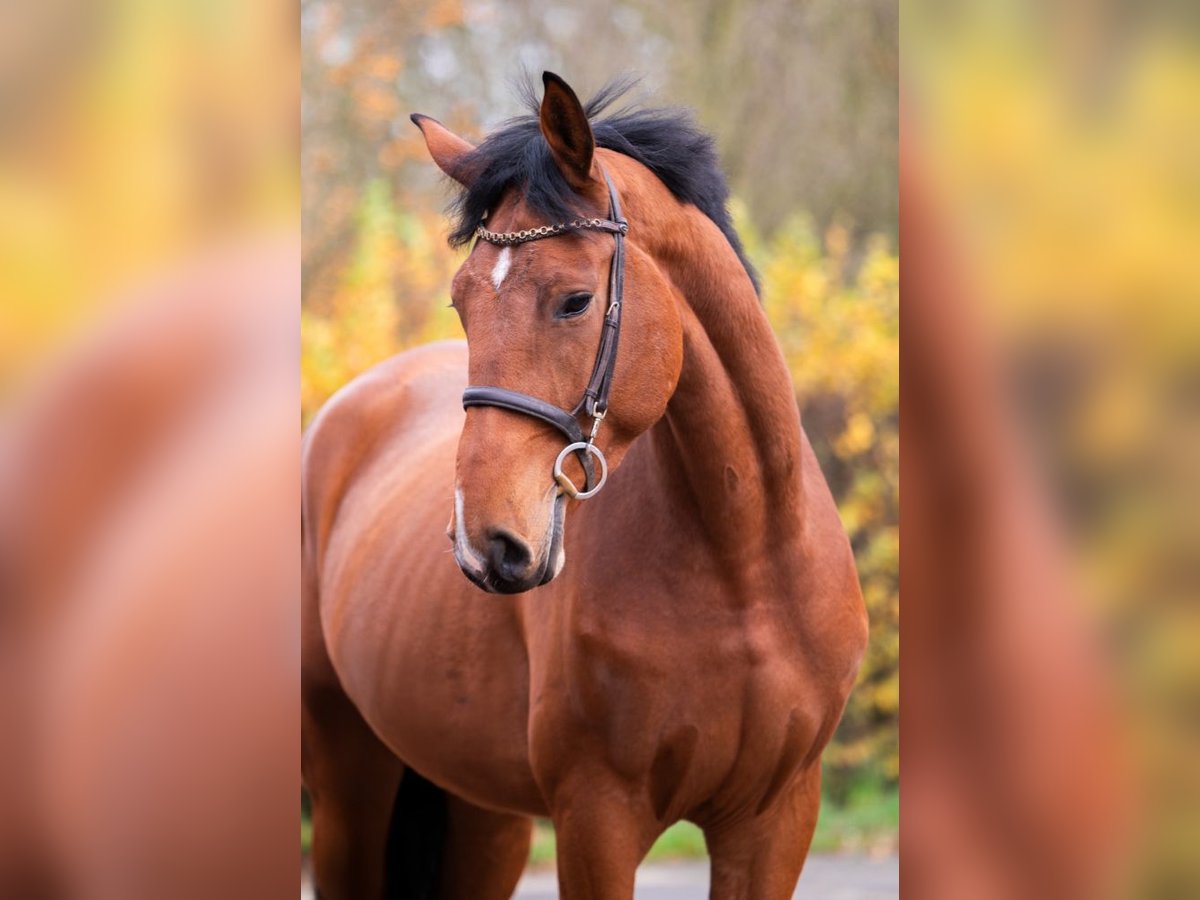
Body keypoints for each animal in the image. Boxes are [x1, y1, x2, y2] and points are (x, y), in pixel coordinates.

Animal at [298, 74, 864, 897]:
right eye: (462, 302)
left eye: (574, 300)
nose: (487, 543)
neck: (748, 567)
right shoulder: (598, 816)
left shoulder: (775, 821)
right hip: (348, 783)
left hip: (484, 817)